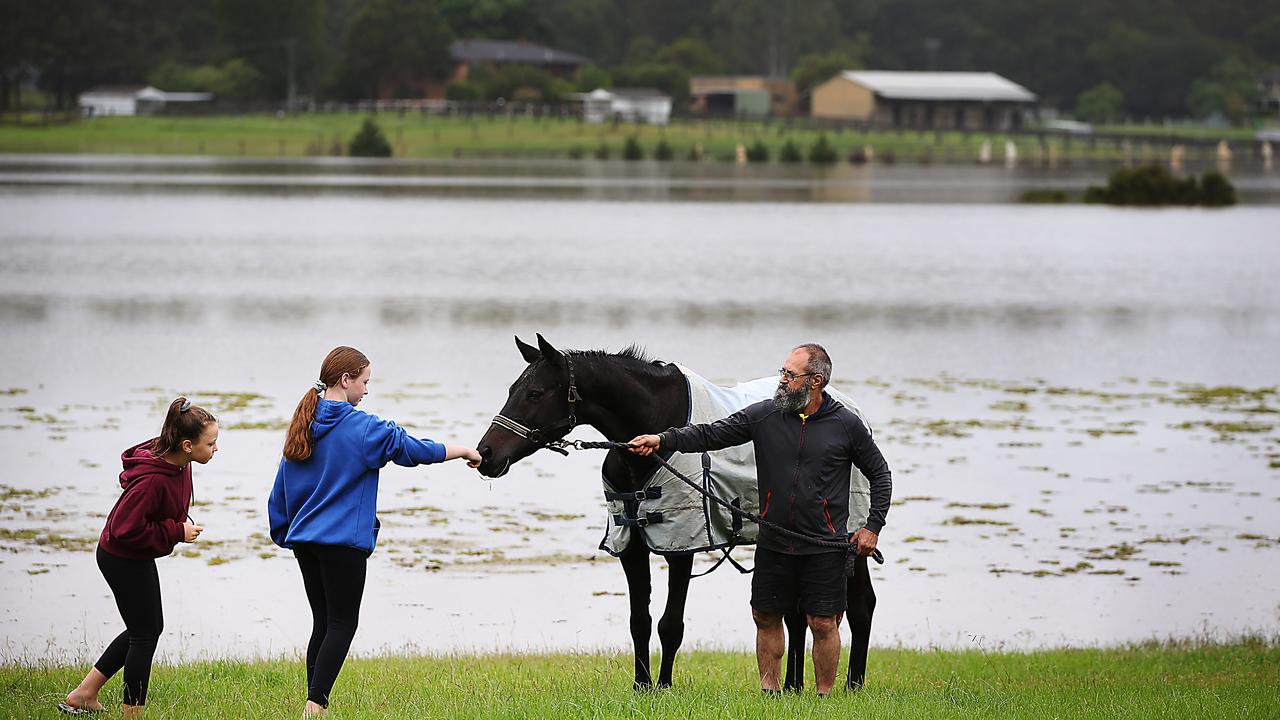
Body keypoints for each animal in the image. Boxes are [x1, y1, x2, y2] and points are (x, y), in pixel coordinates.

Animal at [476, 335, 875, 691]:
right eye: (513, 389)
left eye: (535, 393)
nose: (486, 454)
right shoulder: (632, 544)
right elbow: (639, 620)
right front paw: (641, 685)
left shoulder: (682, 546)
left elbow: (670, 625)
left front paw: (664, 685)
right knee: (794, 615)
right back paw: (793, 685)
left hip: (848, 543)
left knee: (860, 607)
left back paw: (852, 684)